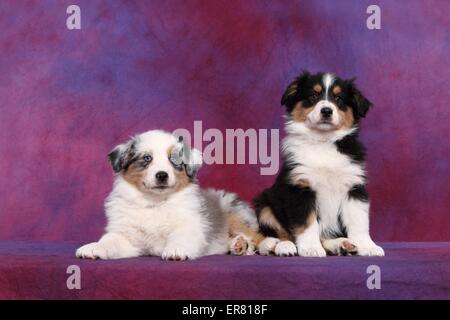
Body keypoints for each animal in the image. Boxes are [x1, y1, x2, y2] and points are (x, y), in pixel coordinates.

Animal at [253, 70, 384, 258]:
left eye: (339, 99)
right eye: (313, 96)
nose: (326, 111)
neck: (323, 141)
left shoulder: (354, 186)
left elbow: (359, 221)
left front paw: (368, 246)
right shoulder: (300, 188)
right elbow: (307, 223)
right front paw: (310, 248)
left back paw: (341, 245)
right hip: (265, 204)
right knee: (280, 234)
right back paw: (279, 246)